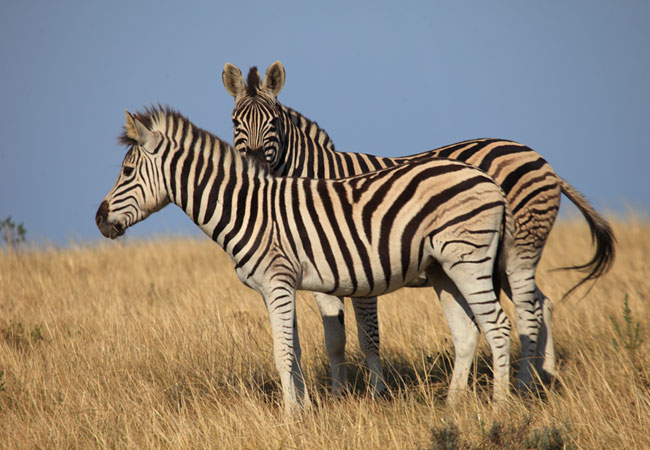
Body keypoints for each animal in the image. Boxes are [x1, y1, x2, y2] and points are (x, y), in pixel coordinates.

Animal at [95, 104, 512, 412]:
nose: (98, 220)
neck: (247, 210)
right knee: (467, 332)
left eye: (127, 170)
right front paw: (303, 411)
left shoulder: (278, 282)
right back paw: (452, 407)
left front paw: (288, 418)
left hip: (469, 261)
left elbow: (281, 353)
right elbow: (293, 351)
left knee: (499, 326)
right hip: (443, 269)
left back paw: (499, 407)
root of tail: (486, 178)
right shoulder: (274, 288)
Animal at [221, 60, 612, 398]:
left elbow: (367, 337)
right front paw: (337, 397)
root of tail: (537, 157)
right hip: (498, 261)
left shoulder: (359, 266)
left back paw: (524, 384)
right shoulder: (324, 275)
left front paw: (376, 395)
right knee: (542, 303)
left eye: (273, 122)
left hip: (518, 250)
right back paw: (545, 375)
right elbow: (334, 339)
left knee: (529, 309)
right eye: (235, 121)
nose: (252, 165)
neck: (316, 177)